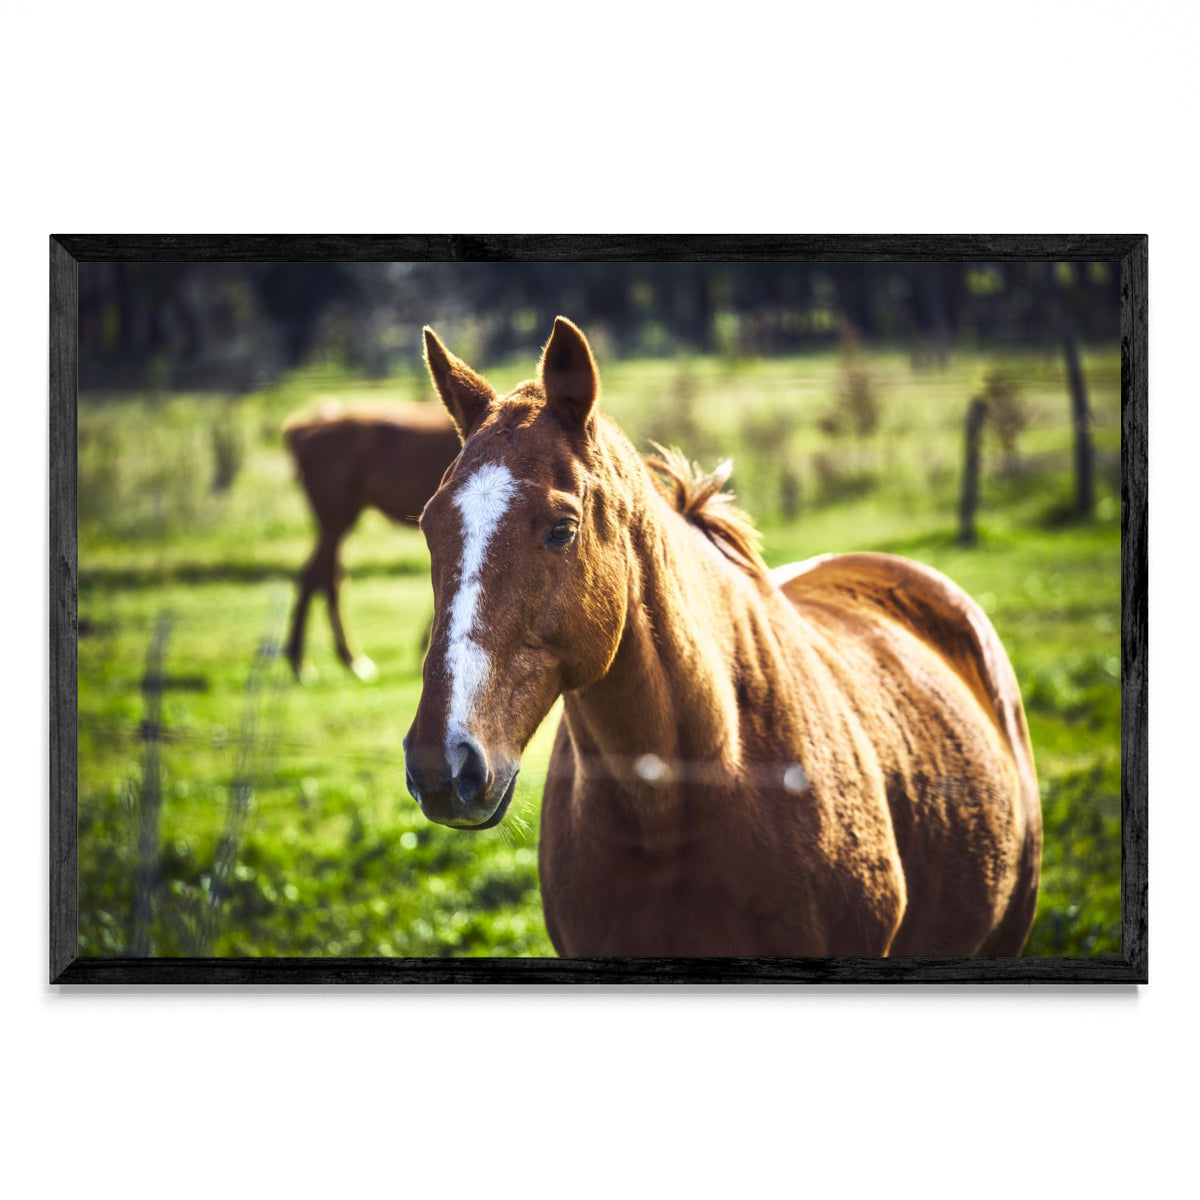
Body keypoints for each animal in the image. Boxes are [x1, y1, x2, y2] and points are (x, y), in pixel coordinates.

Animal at [283, 401, 460, 681]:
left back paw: (339, 659)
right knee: (317, 578)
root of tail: (302, 429)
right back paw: (314, 661)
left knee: (326, 578)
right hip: (335, 518)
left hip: (341, 519)